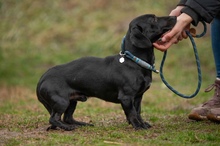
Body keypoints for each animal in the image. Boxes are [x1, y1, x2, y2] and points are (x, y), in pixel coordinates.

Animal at [37, 14, 176, 131]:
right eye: (153, 19)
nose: (174, 16)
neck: (134, 61)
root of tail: (42, 80)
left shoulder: (138, 97)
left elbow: (138, 112)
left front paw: (142, 124)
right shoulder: (126, 97)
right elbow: (132, 114)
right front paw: (137, 126)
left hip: (72, 101)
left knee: (67, 118)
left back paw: (81, 124)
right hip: (62, 101)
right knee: (53, 119)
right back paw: (68, 128)